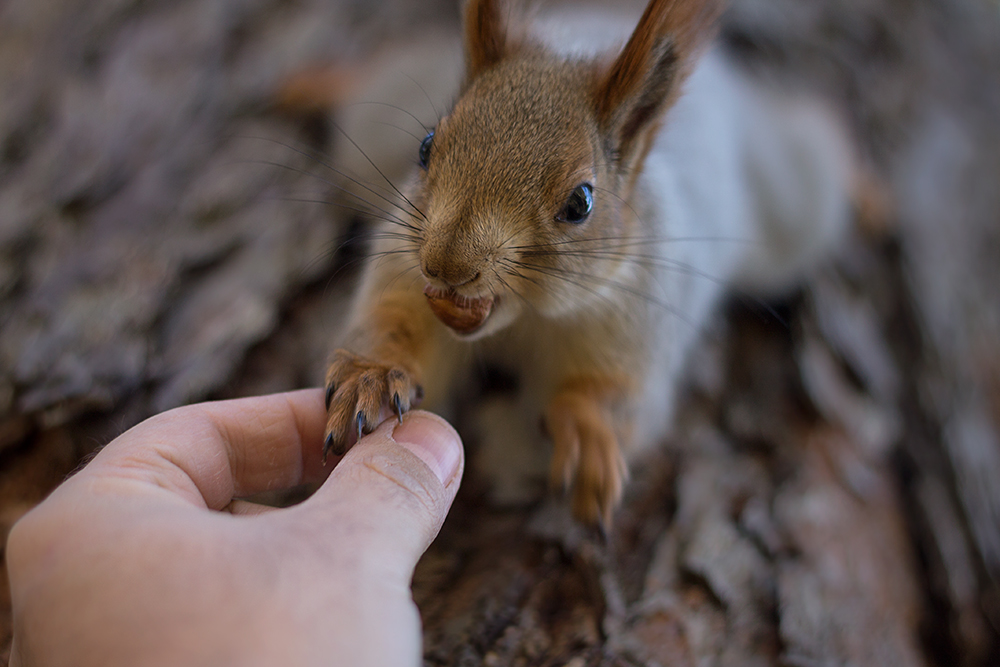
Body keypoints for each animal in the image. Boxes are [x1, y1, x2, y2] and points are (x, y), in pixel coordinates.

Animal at [318, 0, 852, 528]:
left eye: (580, 203)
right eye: (427, 146)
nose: (446, 266)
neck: (524, 321)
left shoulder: (638, 324)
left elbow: (620, 399)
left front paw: (585, 427)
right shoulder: (404, 271)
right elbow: (395, 323)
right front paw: (373, 373)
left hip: (791, 214)